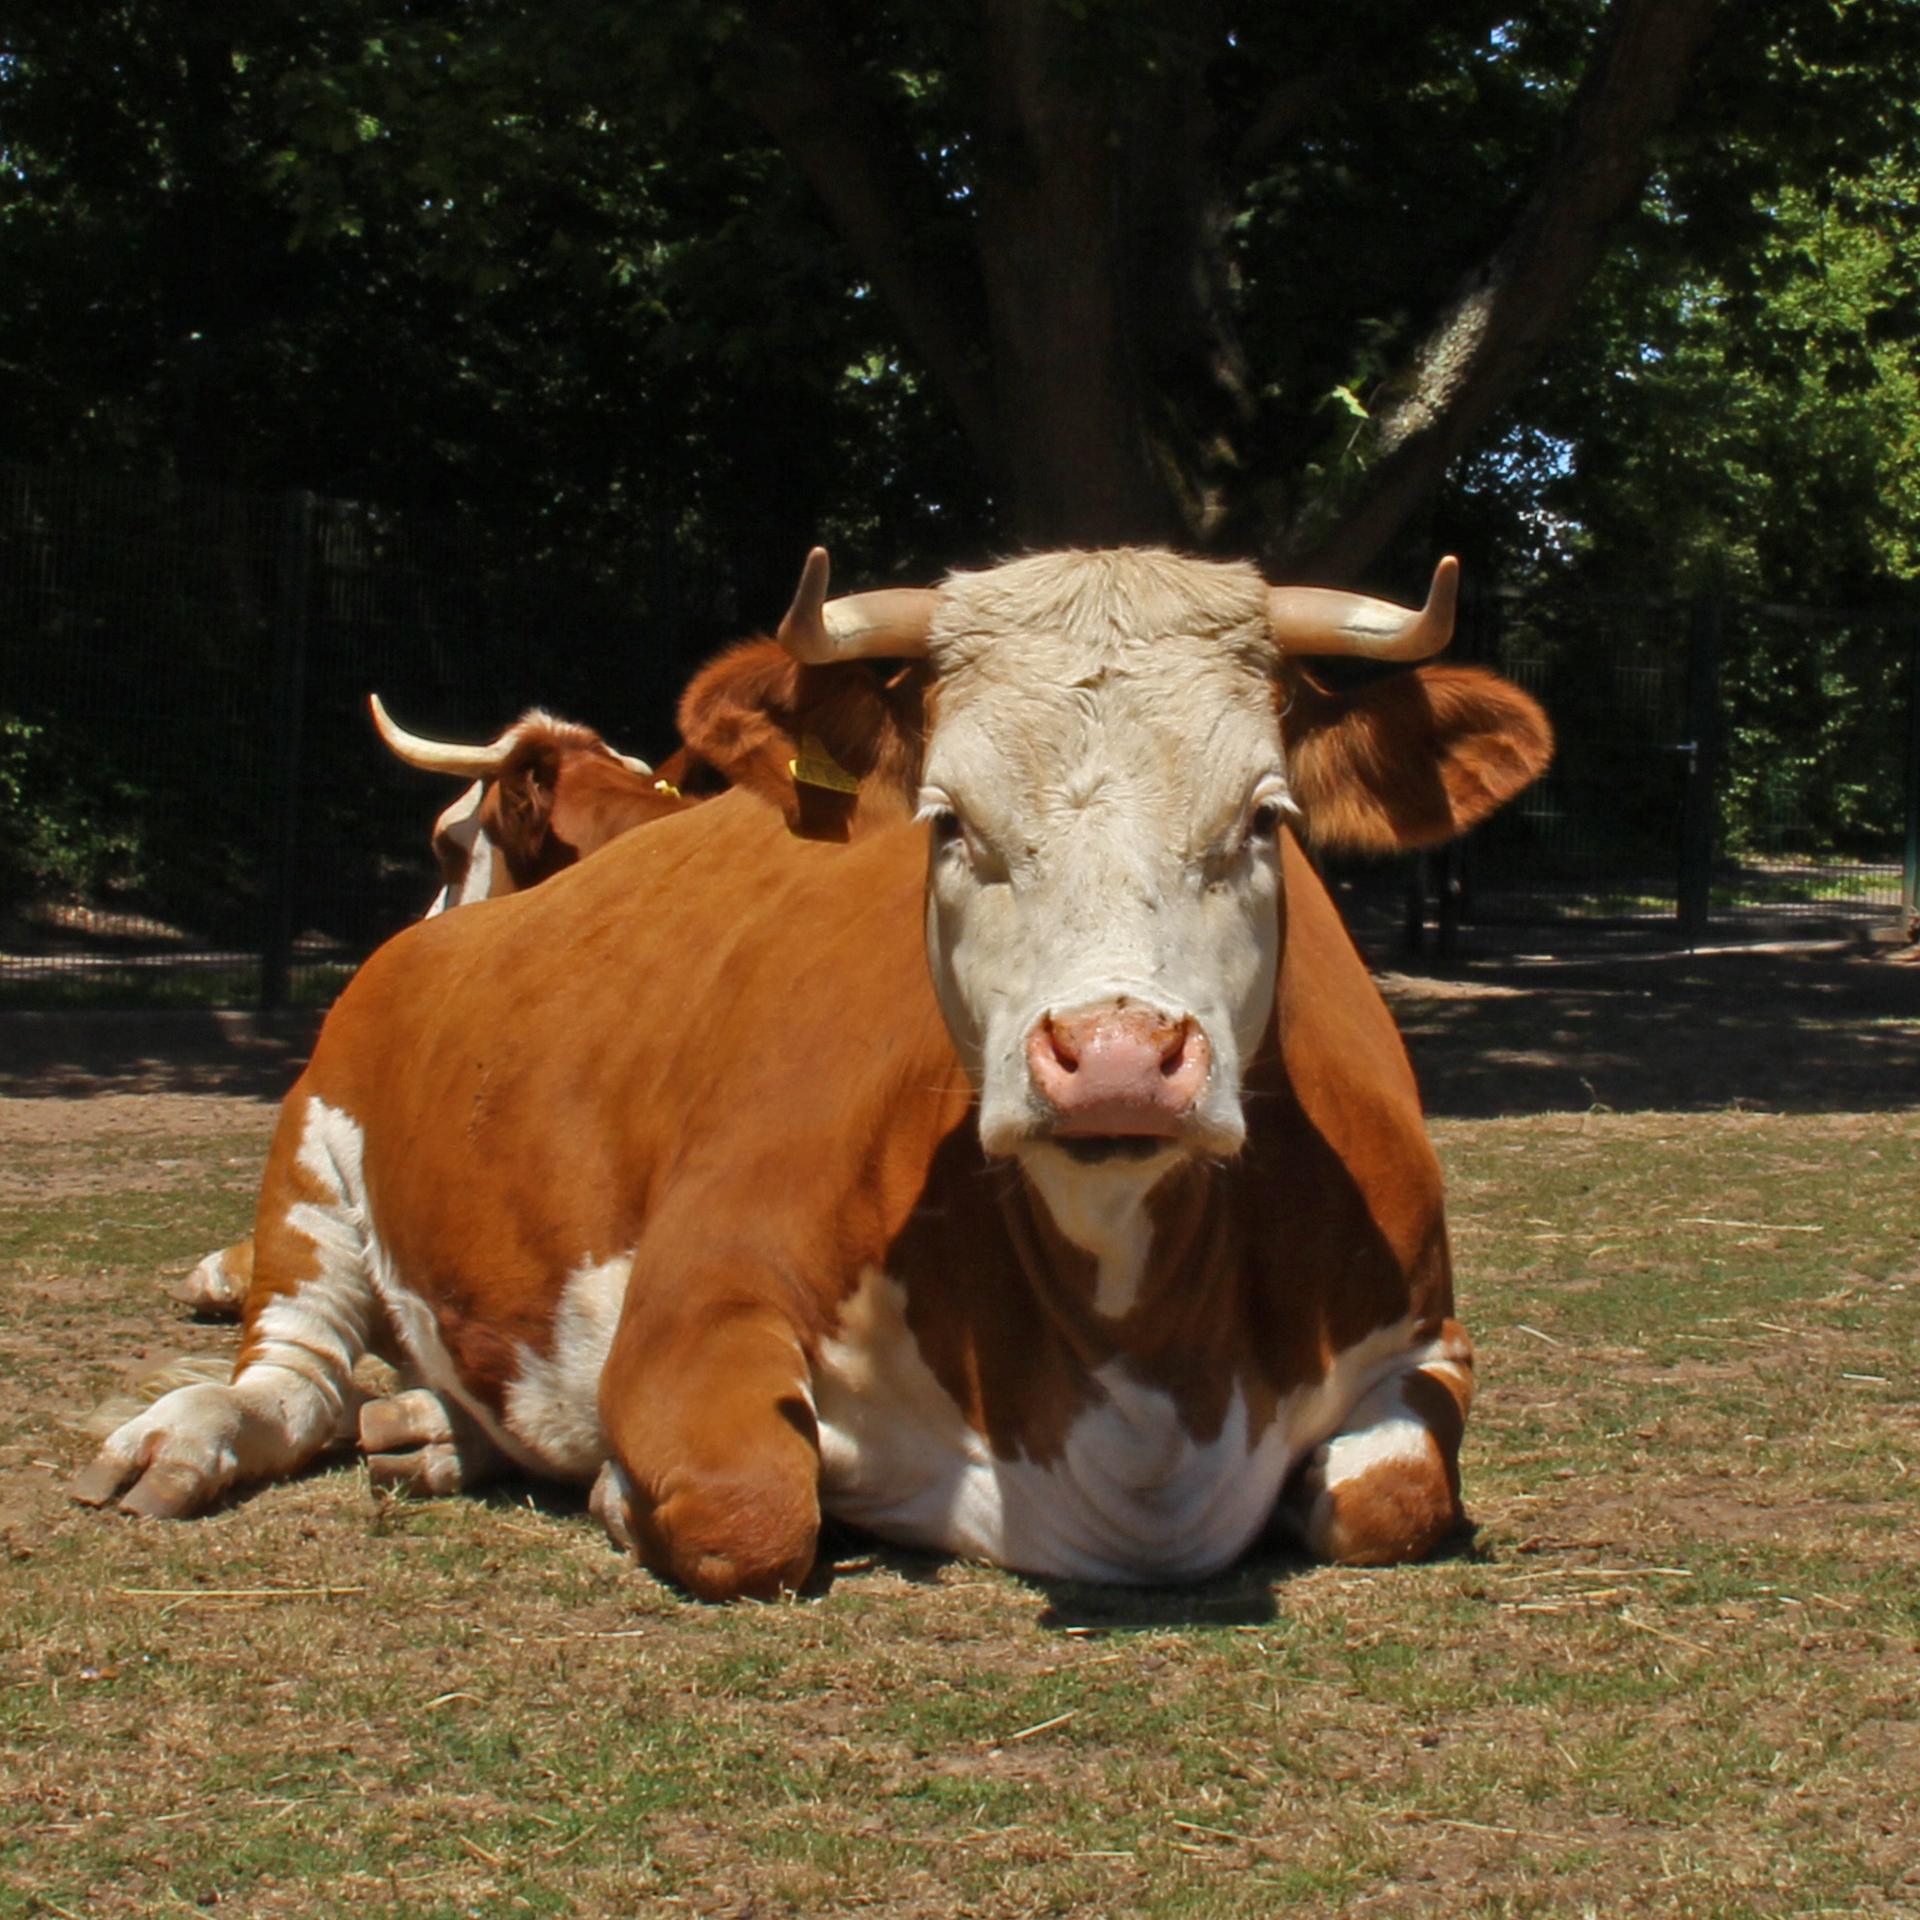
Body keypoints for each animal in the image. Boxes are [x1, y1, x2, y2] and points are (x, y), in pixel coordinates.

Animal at [77, 546, 1551, 1601]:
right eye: (948, 822)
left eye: (1264, 817)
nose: (1118, 1064)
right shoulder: (696, 1296)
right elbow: (749, 1508)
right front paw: (619, 1492)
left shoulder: (1428, 1334)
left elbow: (1392, 1499)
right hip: (314, 1159)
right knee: (293, 1375)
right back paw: (187, 1440)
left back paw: (435, 1433)